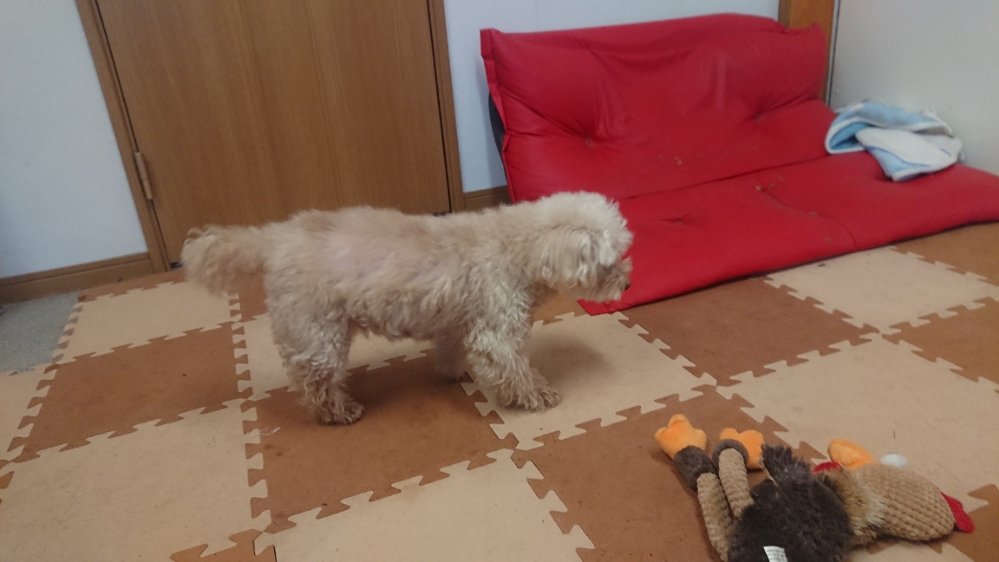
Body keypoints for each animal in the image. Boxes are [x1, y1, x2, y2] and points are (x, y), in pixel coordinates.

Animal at [181, 191, 633, 424]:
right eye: (608, 264)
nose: (628, 283)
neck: (518, 246)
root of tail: (274, 239)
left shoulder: (457, 322)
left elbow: (451, 350)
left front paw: (456, 373)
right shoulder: (498, 330)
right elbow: (514, 368)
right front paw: (538, 395)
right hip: (318, 332)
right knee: (315, 382)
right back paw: (340, 411)